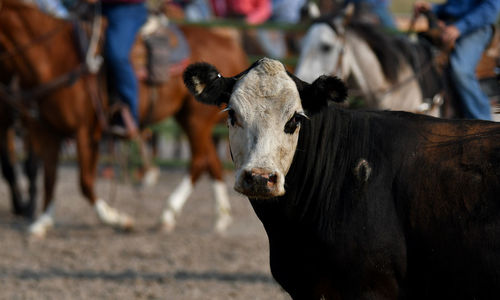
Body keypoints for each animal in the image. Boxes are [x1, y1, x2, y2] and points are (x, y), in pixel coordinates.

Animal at [0, 1, 248, 238]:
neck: (52, 58)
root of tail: (229, 44)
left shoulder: (85, 132)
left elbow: (85, 183)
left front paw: (116, 219)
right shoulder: (47, 132)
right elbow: (50, 179)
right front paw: (41, 223)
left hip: (196, 119)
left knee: (198, 161)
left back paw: (168, 214)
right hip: (190, 118)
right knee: (211, 161)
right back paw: (220, 218)